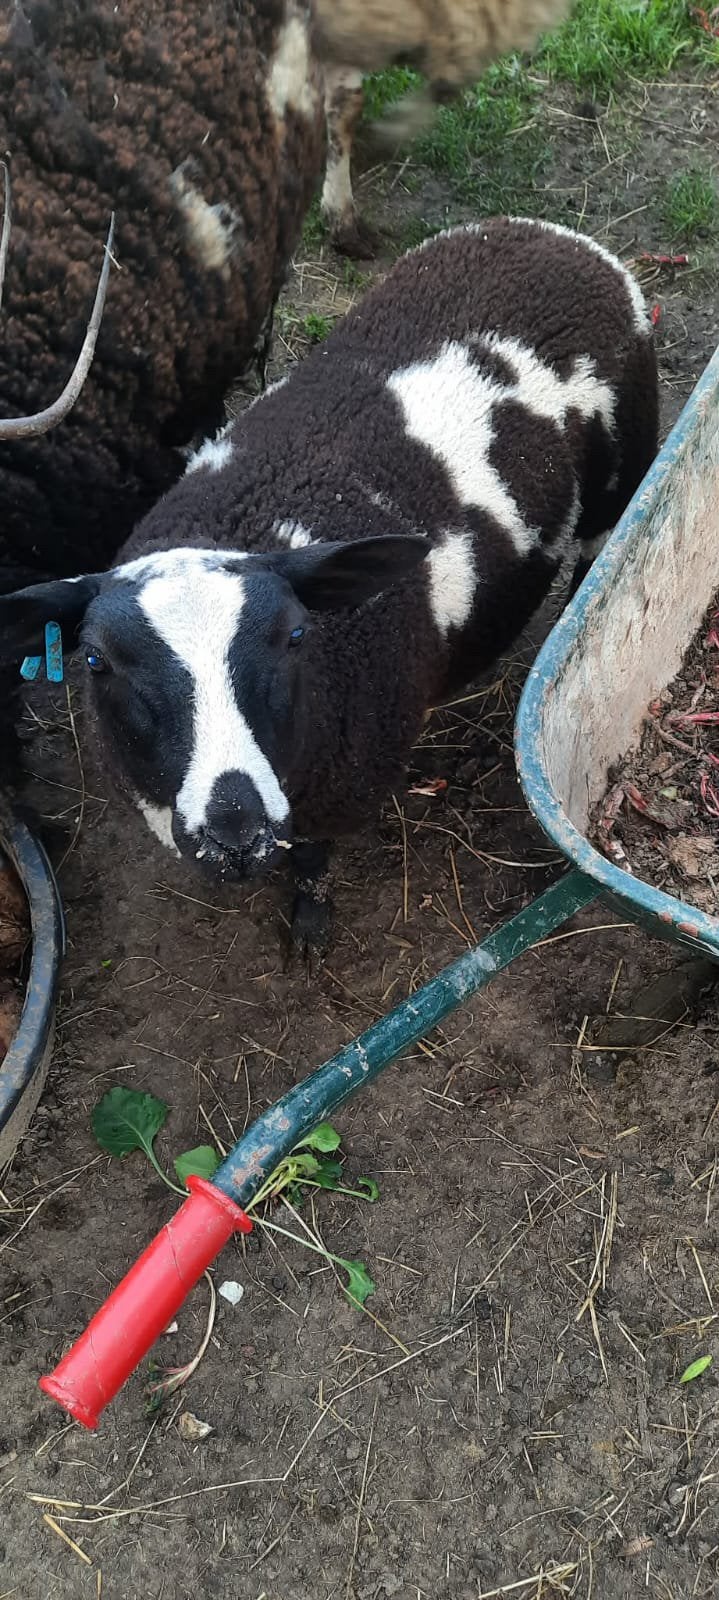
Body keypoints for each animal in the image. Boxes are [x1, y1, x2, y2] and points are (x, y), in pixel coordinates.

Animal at [0, 217, 658, 960]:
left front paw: (309, 923)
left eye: (294, 636)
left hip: (622, 469)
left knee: (594, 569)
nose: (234, 833)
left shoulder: (343, 780)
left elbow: (313, 857)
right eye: (95, 661)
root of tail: (555, 236)